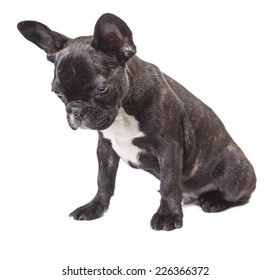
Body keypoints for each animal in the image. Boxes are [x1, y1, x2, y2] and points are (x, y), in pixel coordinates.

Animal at [17, 12, 258, 230]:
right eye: (58, 94)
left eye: (101, 90)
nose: (76, 110)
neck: (124, 108)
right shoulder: (106, 148)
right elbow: (104, 180)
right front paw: (95, 208)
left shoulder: (169, 147)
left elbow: (170, 182)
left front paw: (167, 215)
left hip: (230, 175)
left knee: (239, 195)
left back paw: (214, 201)